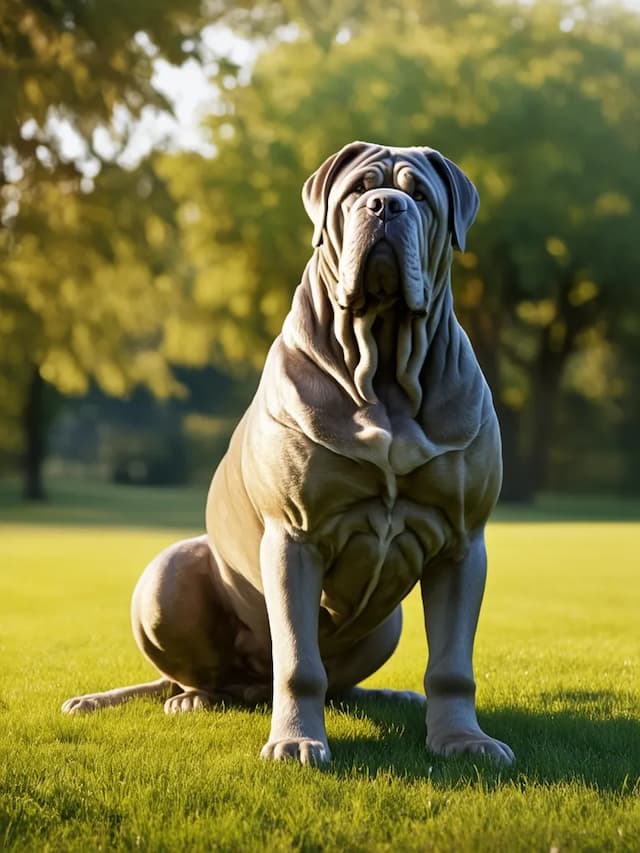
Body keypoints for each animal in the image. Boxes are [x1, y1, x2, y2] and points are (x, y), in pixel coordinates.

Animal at [62, 140, 516, 764]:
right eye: (357, 191)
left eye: (420, 195)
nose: (386, 206)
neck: (383, 364)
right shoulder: (294, 538)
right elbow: (300, 662)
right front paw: (298, 741)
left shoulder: (461, 543)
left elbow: (451, 664)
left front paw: (463, 740)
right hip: (166, 575)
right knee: (200, 676)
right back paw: (195, 699)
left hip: (390, 621)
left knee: (344, 681)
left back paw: (390, 696)